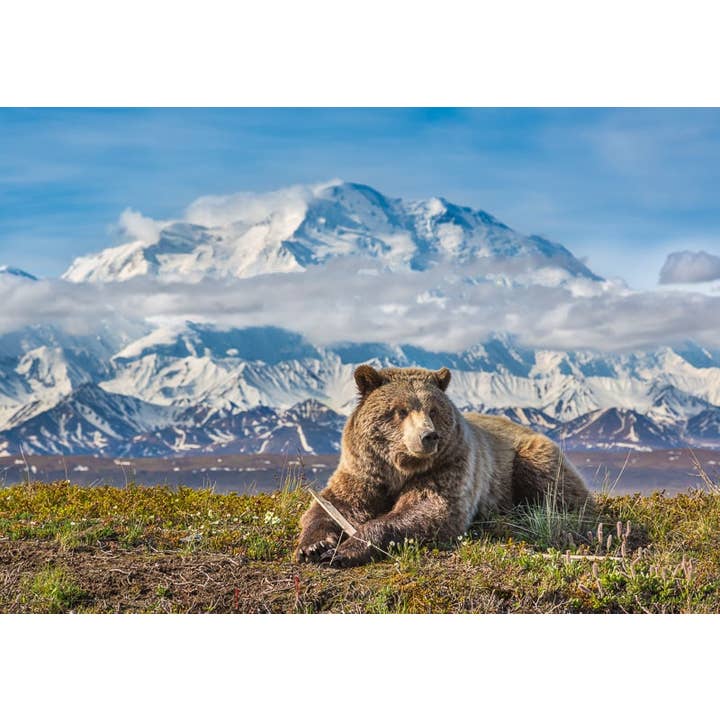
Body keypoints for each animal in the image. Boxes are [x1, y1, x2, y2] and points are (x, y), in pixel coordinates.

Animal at [295, 365, 592, 567]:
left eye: (433, 410)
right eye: (400, 410)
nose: (429, 436)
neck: (400, 468)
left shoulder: (448, 466)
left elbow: (429, 509)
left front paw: (345, 549)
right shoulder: (364, 470)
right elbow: (336, 503)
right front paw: (314, 546)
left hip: (527, 456)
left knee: (553, 488)